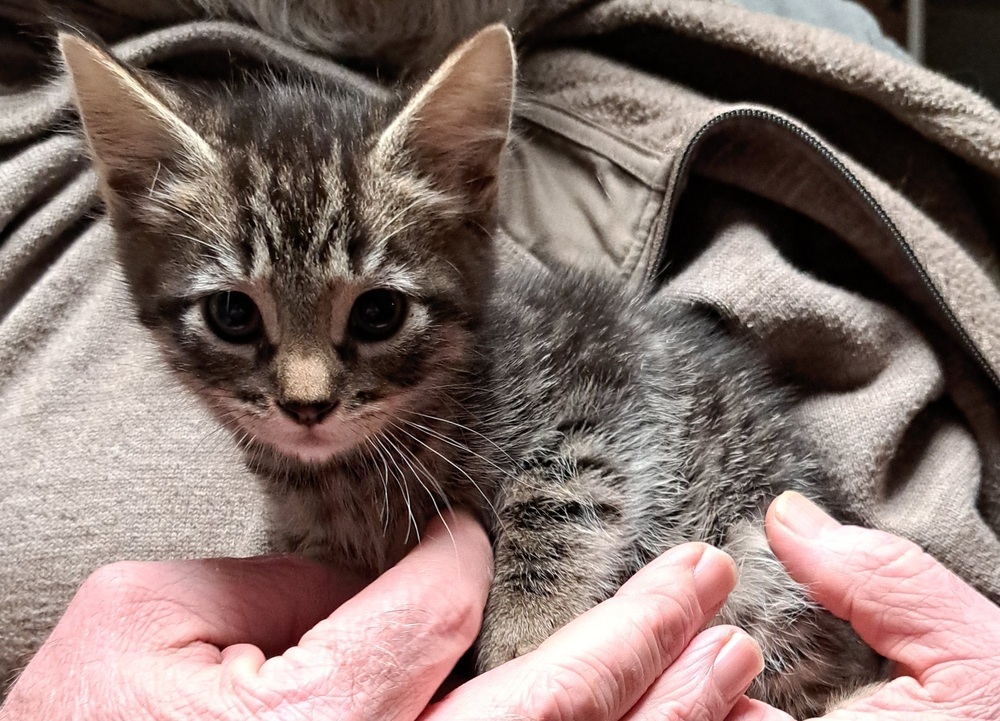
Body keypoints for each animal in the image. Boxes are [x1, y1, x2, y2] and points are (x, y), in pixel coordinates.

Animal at [60, 26, 884, 716]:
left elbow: (563, 488)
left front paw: (524, 634)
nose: (307, 406)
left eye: (378, 313)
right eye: (233, 313)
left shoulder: (607, 374)